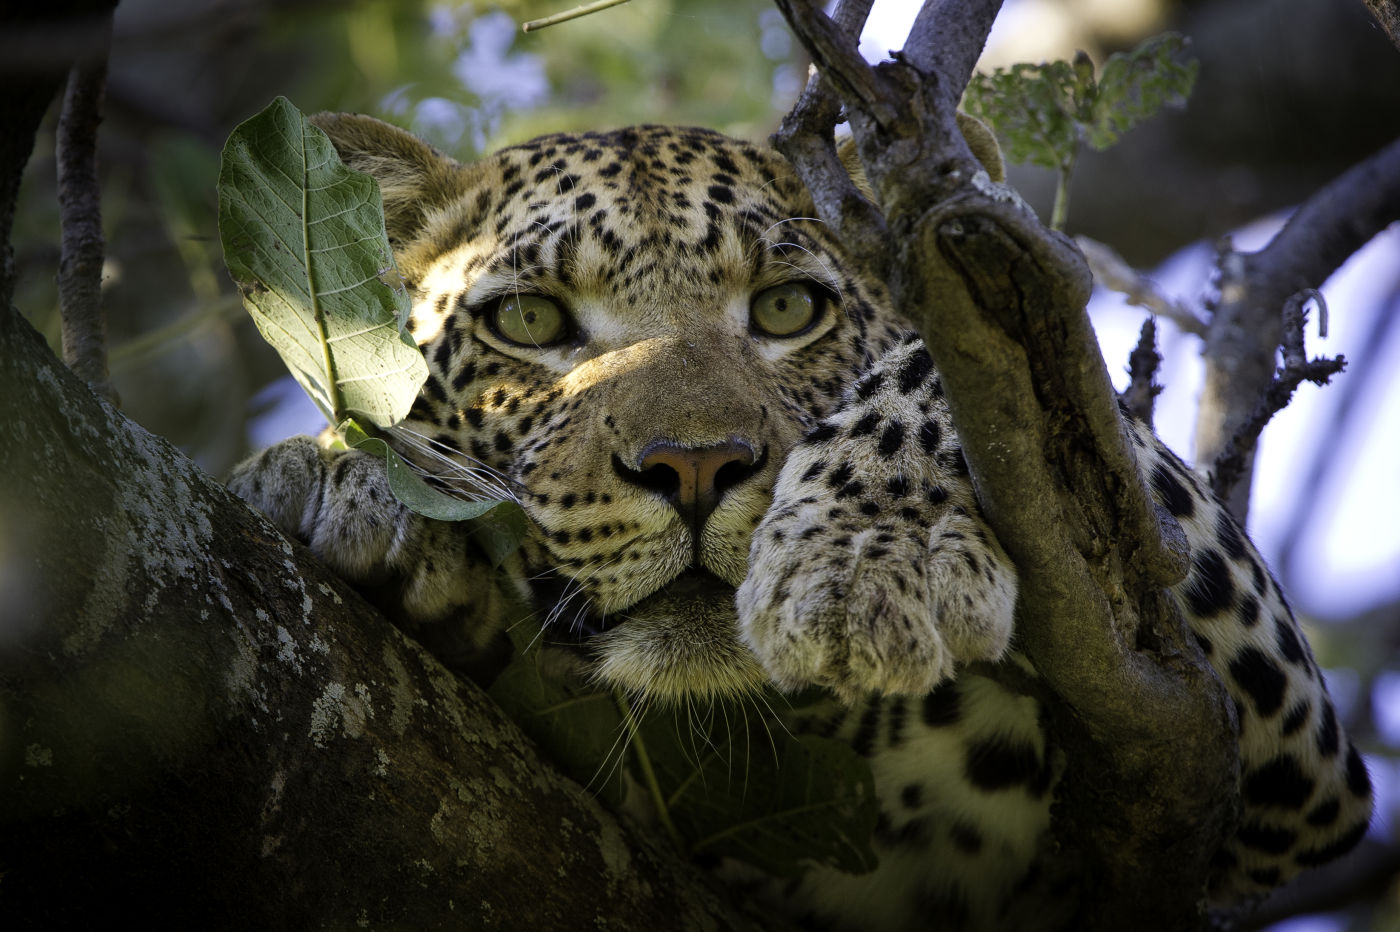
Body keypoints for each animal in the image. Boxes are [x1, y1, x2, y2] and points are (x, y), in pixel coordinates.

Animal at [226, 112, 1366, 923]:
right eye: (530, 321)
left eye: (785, 309)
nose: (693, 467)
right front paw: (338, 475)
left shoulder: (1280, 750)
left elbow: (942, 364)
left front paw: (863, 556)